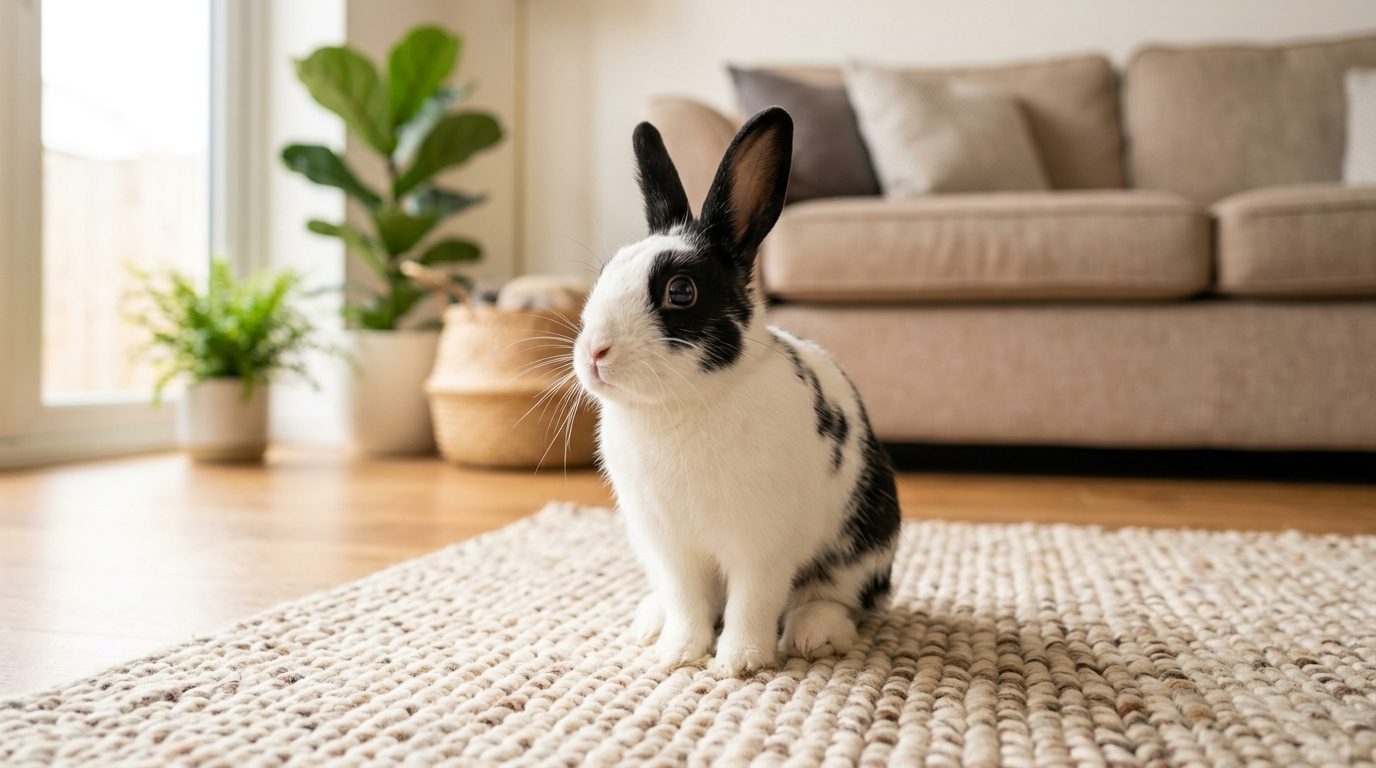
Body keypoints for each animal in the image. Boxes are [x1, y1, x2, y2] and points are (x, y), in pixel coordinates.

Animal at [572, 107, 901, 676]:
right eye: (607, 273)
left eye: (681, 291)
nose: (595, 351)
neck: (681, 406)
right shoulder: (671, 548)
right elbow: (688, 602)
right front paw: (679, 654)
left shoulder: (761, 547)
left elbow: (753, 602)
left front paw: (738, 664)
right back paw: (651, 621)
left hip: (866, 540)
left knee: (841, 598)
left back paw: (814, 634)